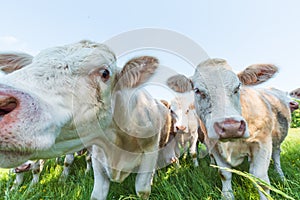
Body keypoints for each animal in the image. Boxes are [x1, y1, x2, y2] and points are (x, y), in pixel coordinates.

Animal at [0, 39, 169, 199]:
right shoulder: (98, 157)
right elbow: (96, 194)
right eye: (32, 64)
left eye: (105, 73)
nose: (3, 102)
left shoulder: (150, 151)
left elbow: (142, 190)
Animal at [166, 58, 290, 200]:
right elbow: (224, 174)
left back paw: (281, 177)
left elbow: (261, 179)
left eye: (238, 87)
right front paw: (227, 195)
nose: (231, 127)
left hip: (276, 140)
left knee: (276, 156)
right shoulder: (213, 146)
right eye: (197, 90)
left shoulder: (262, 142)